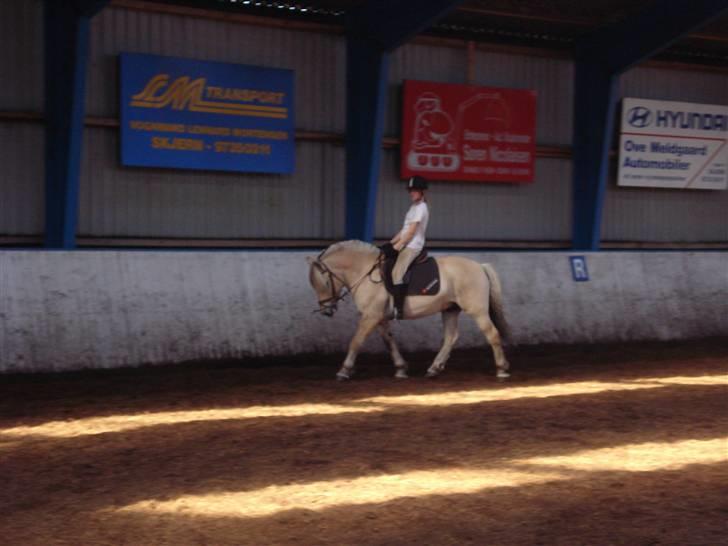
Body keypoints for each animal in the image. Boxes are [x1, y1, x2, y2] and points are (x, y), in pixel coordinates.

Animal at [308, 240, 512, 380]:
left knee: (492, 334)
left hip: (477, 310)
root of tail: (480, 266)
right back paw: (434, 369)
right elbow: (389, 342)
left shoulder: (370, 316)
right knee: (451, 337)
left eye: (324, 283)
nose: (326, 311)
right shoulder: (379, 318)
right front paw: (401, 369)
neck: (365, 272)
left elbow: (355, 342)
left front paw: (344, 371)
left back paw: (501, 369)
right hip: (450, 309)